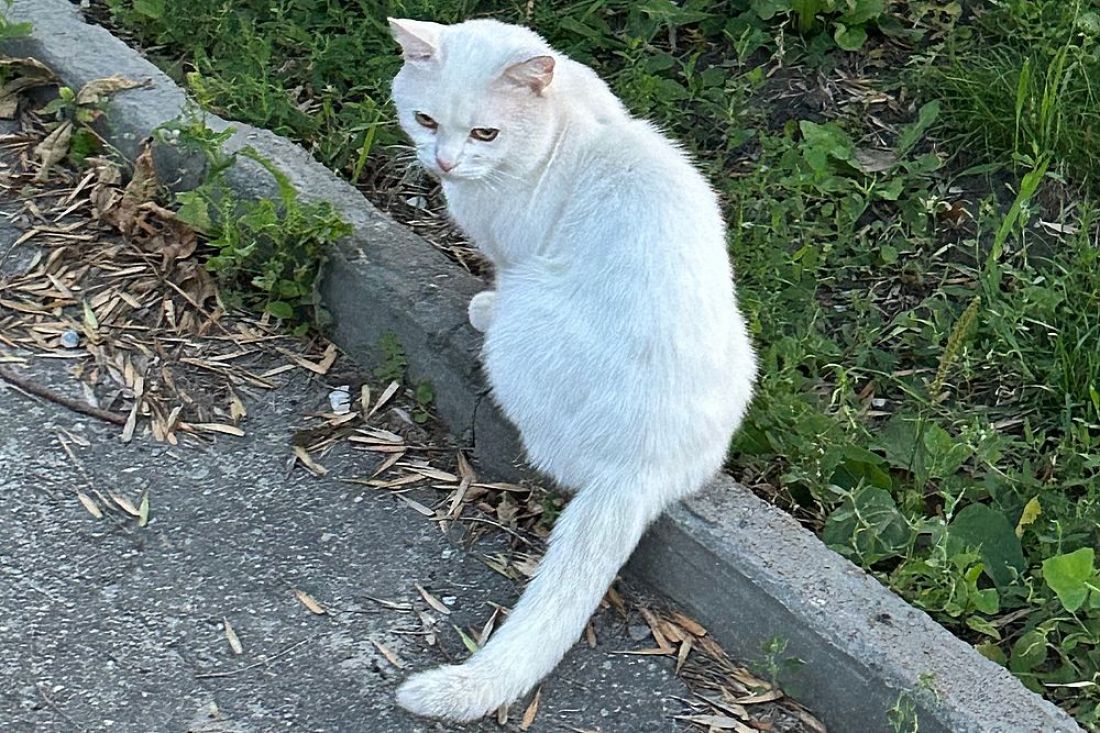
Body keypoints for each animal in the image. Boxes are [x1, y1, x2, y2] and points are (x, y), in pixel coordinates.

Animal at [388, 17, 757, 722]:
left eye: (485, 134)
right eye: (424, 120)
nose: (444, 162)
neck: (568, 123)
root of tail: (643, 468)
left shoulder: (515, 255)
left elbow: (497, 276)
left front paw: (482, 302)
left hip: (528, 316)